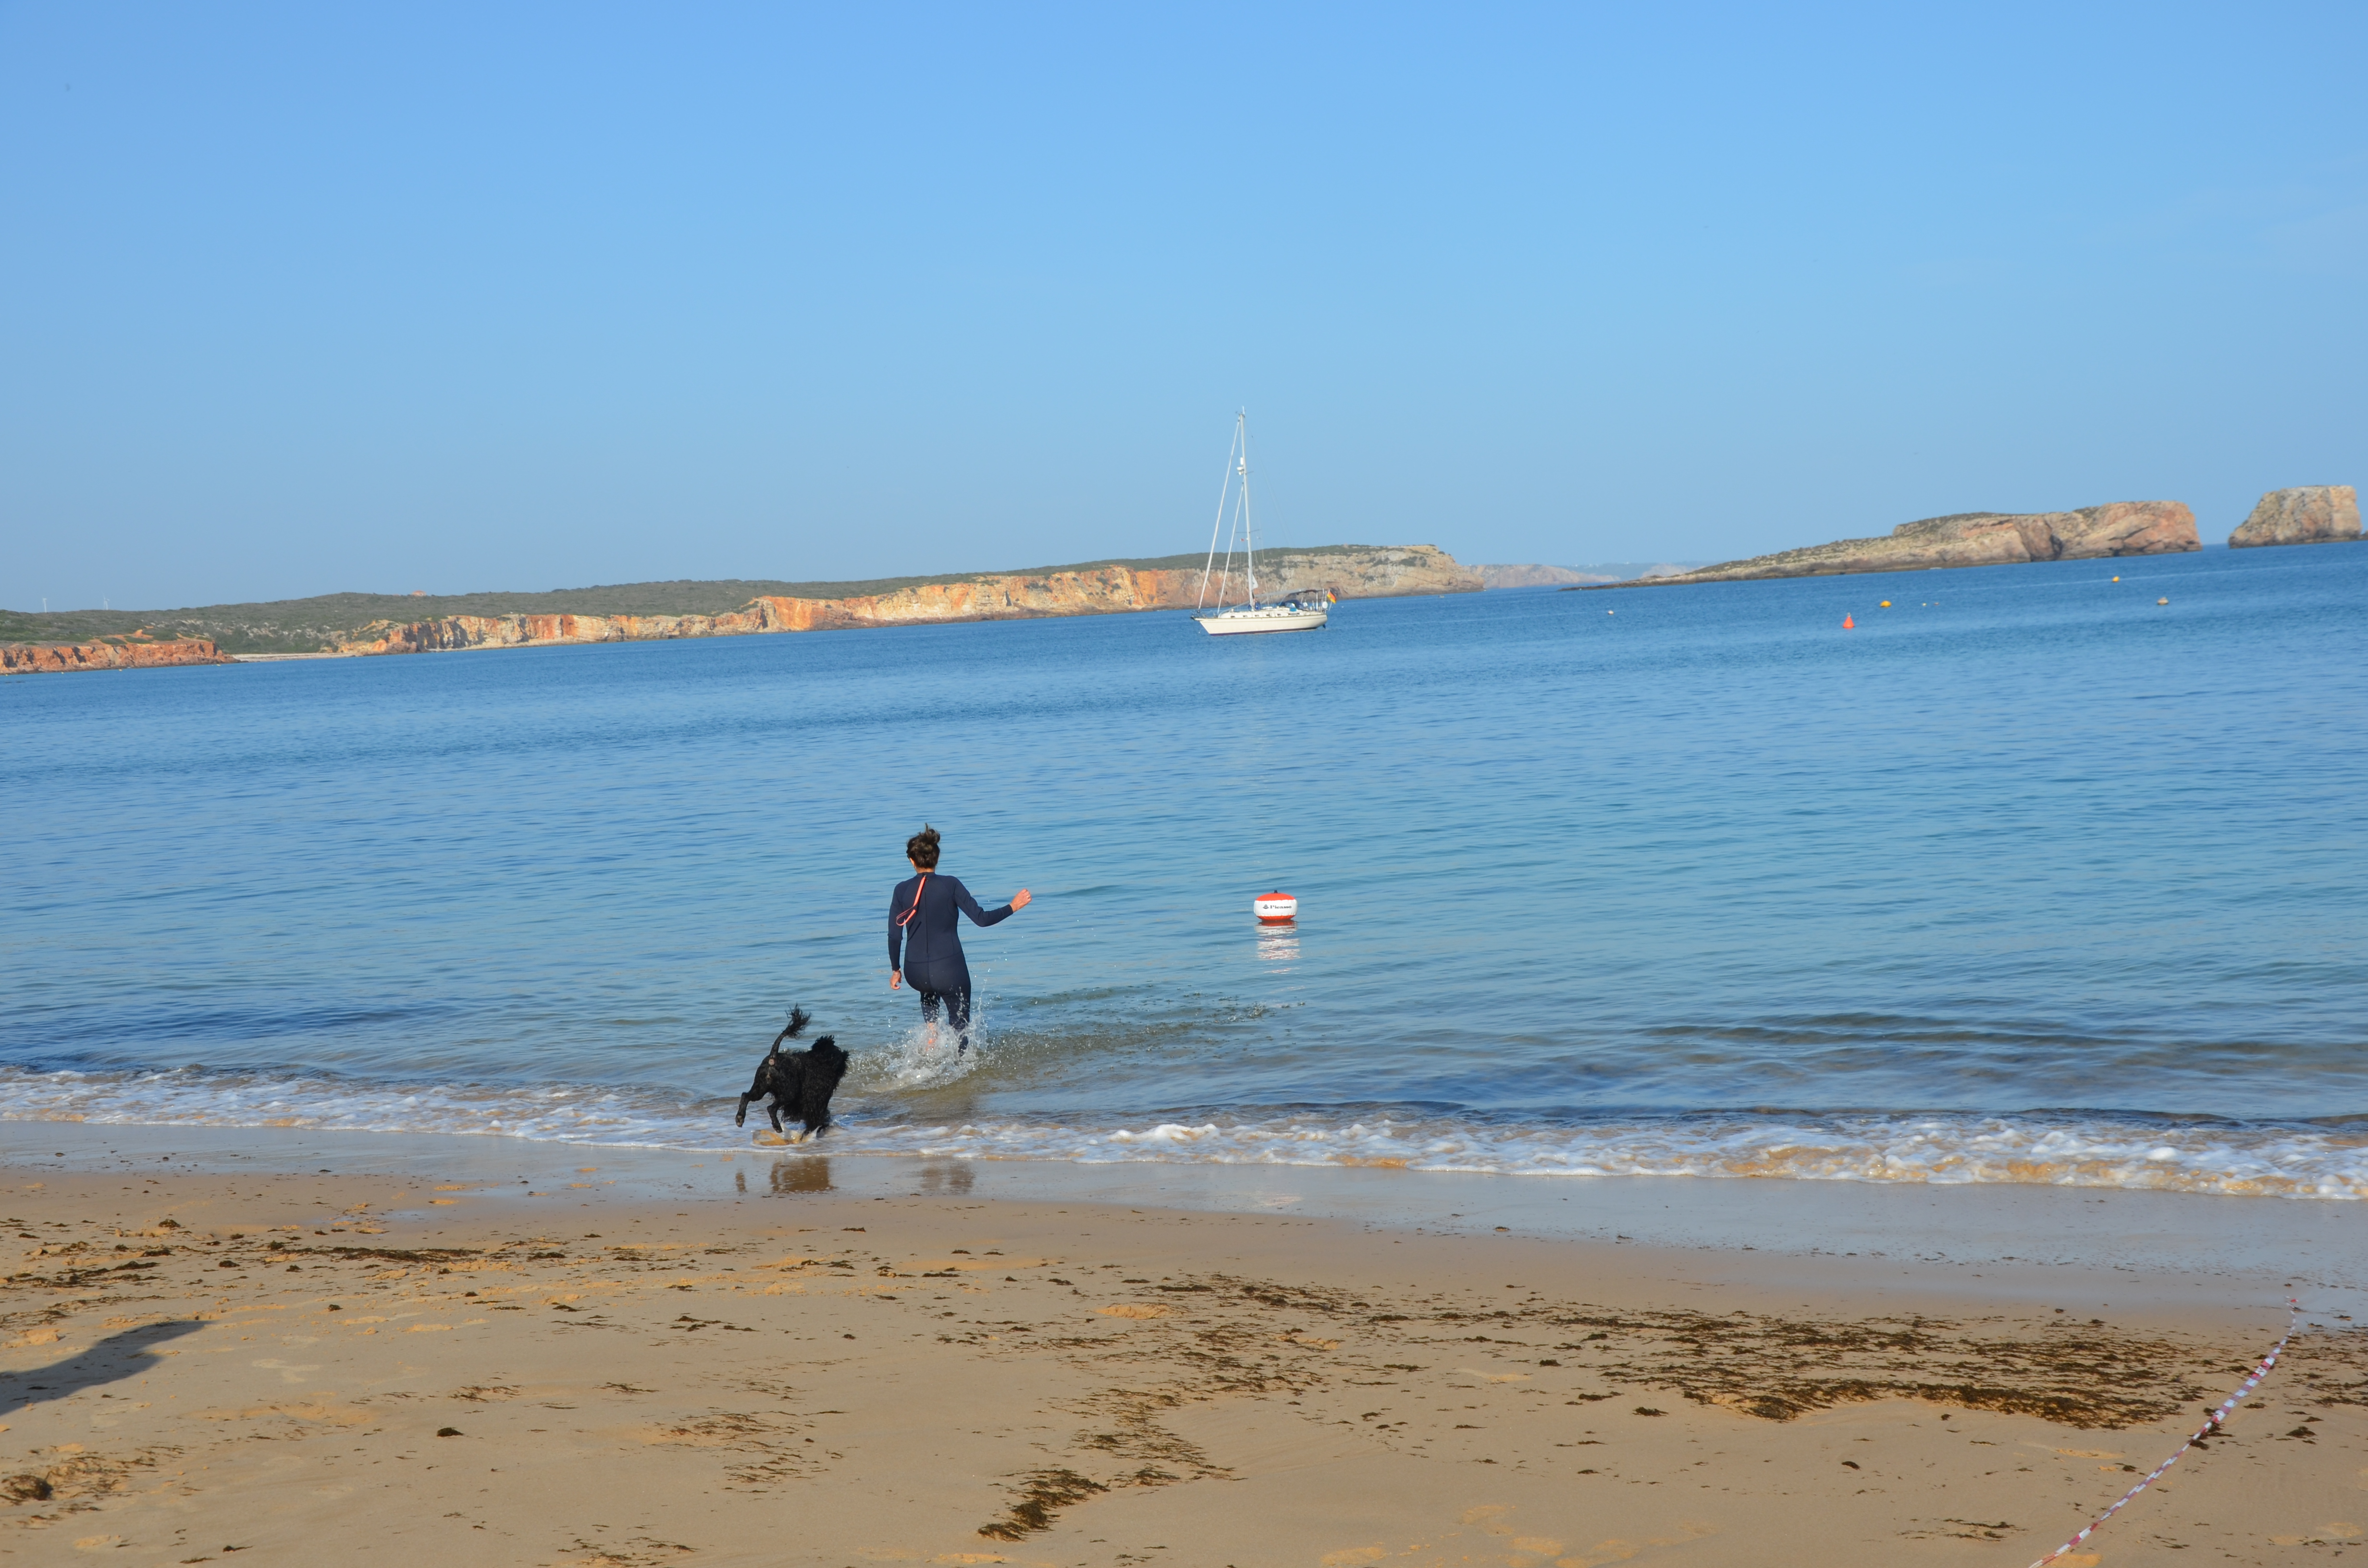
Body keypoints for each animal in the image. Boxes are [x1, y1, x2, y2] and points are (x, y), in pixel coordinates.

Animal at [739, 1009, 862, 1141]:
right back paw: (777, 1126)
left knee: (746, 1096)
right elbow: (817, 1117)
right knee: (771, 1108)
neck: (819, 1060)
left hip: (760, 1087)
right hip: (789, 1092)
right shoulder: (818, 1101)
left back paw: (740, 1118)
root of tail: (773, 1057)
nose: (845, 1055)